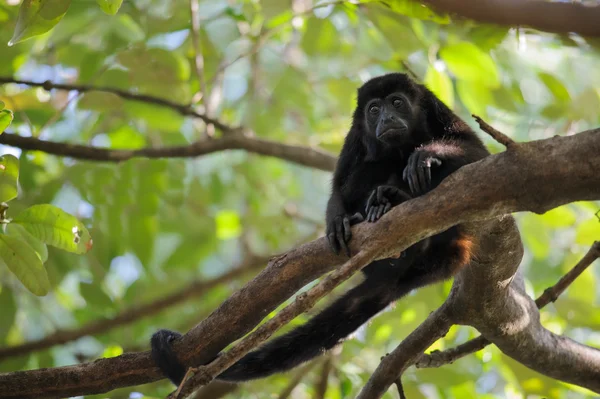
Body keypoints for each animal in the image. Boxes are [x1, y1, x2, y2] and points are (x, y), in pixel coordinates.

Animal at [149, 72, 488, 388]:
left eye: (396, 102)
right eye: (374, 109)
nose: (388, 118)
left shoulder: (434, 106)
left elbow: (476, 152)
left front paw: (425, 155)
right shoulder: (355, 133)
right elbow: (339, 184)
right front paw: (338, 219)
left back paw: (396, 198)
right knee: (372, 165)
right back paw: (379, 210)